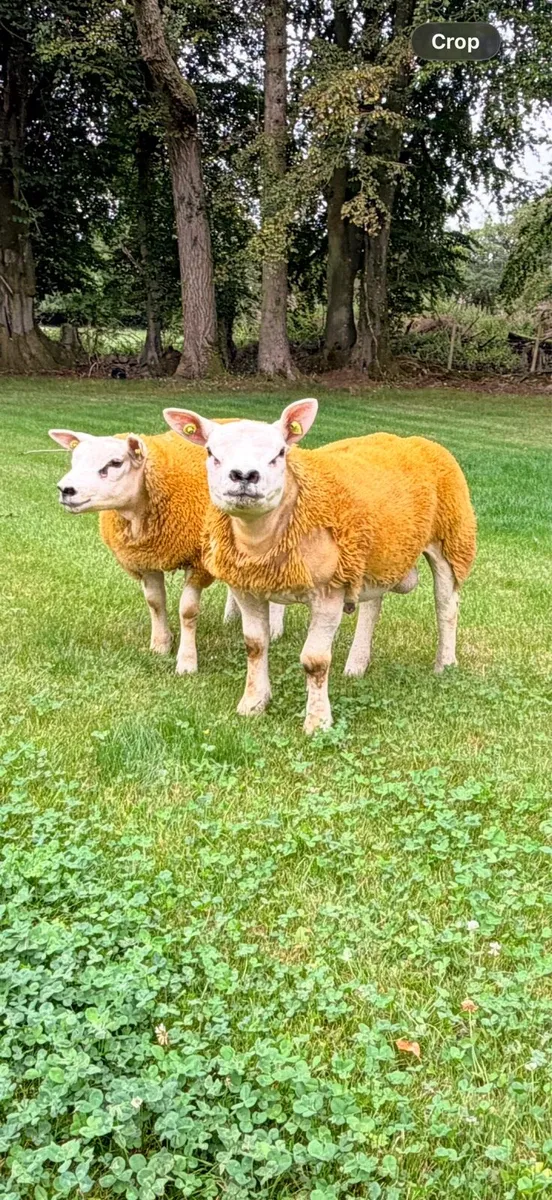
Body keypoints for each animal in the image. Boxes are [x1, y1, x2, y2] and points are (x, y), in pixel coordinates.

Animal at [48, 427, 284, 673]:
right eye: (75, 459)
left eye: (115, 463)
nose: (65, 489)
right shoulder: (146, 559)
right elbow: (155, 603)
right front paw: (160, 646)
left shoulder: (198, 562)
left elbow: (187, 611)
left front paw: (187, 662)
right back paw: (230, 619)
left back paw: (275, 630)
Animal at [163, 399, 477, 732]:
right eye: (211, 452)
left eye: (280, 453)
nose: (245, 475)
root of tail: (413, 440)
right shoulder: (247, 588)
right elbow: (255, 645)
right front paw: (253, 704)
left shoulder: (329, 591)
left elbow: (315, 660)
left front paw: (317, 722)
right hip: (376, 552)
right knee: (373, 607)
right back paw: (356, 664)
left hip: (450, 540)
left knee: (446, 607)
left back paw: (445, 664)